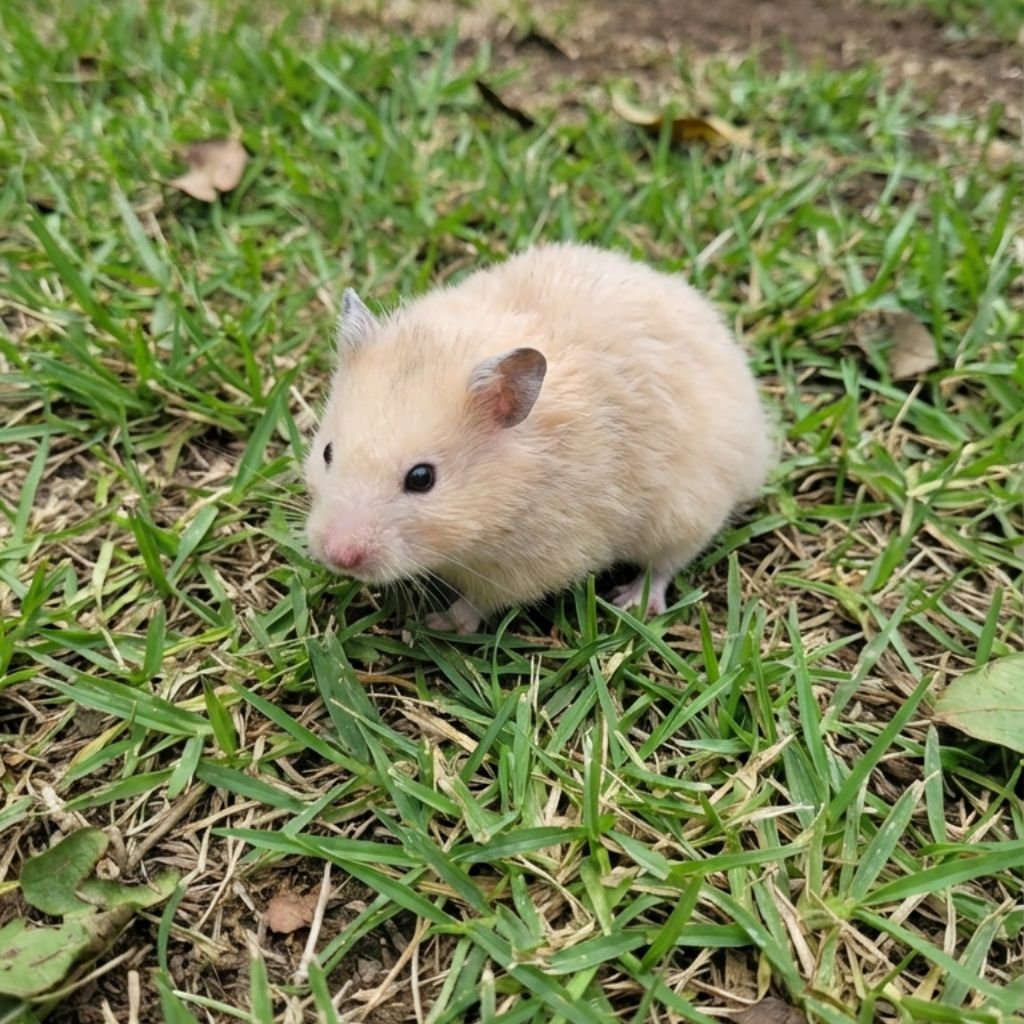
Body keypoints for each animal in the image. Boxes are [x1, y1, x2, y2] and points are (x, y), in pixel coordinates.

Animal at [304, 243, 775, 633]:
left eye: (422, 478)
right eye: (327, 452)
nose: (338, 557)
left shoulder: (538, 560)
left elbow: (481, 601)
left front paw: (436, 625)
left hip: (687, 510)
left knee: (666, 566)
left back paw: (631, 602)